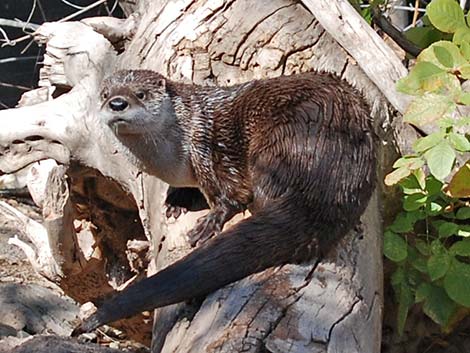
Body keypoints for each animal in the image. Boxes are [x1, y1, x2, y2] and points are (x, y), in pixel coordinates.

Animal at [72, 69, 374, 332]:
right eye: (105, 94)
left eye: (140, 93)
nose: (117, 103)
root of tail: (331, 175)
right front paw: (177, 198)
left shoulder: (204, 147)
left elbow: (232, 192)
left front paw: (211, 220)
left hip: (275, 145)